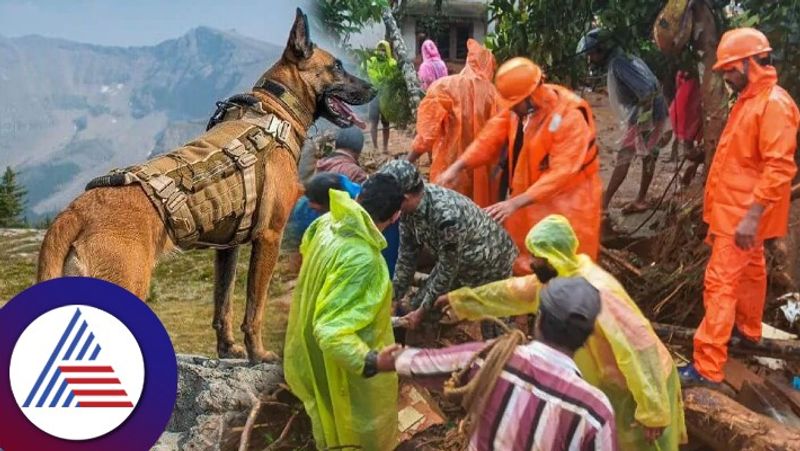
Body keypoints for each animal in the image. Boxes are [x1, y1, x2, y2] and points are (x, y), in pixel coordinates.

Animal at [36, 8, 374, 364]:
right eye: (337, 66)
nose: (374, 89)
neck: (275, 108)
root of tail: (74, 212)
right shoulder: (270, 237)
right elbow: (255, 308)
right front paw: (259, 353)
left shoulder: (227, 249)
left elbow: (222, 305)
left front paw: (227, 349)